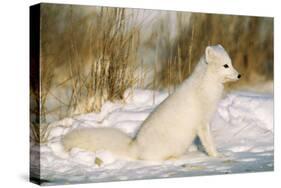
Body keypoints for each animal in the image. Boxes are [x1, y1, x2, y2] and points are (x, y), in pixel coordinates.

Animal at [62, 44, 240, 161]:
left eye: (231, 63)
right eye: (225, 65)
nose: (239, 75)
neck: (206, 84)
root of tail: (136, 147)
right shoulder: (202, 123)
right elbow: (209, 142)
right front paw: (217, 156)